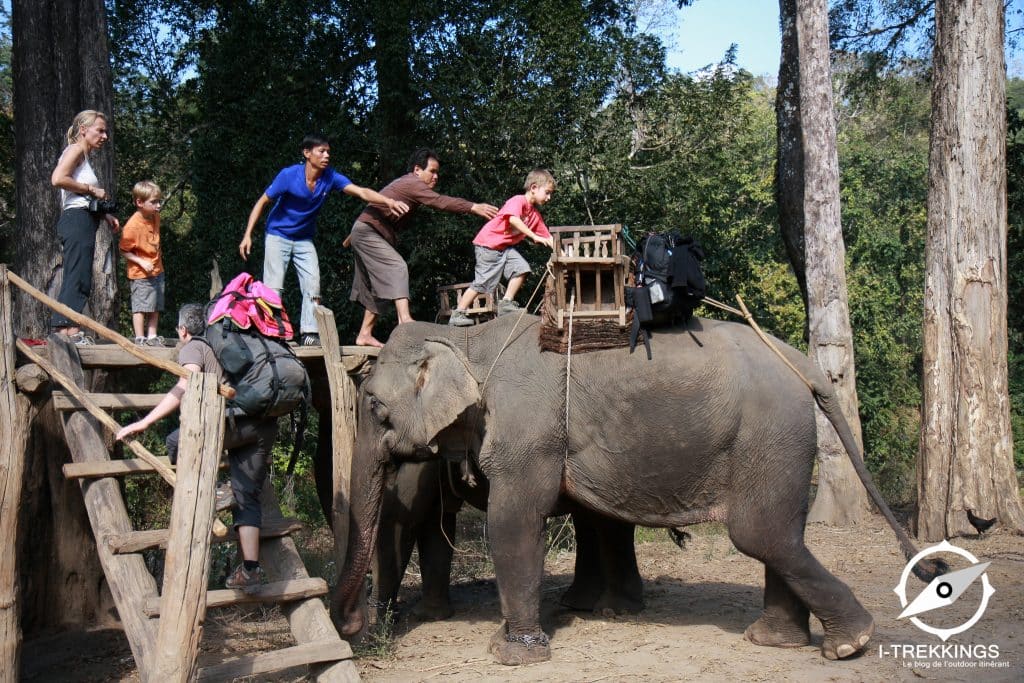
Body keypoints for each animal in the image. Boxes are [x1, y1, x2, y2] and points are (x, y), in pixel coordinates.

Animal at [370, 457, 645, 625]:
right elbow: (434, 523)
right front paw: (428, 616)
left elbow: (403, 519)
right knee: (588, 516)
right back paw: (579, 603)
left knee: (606, 519)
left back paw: (613, 609)